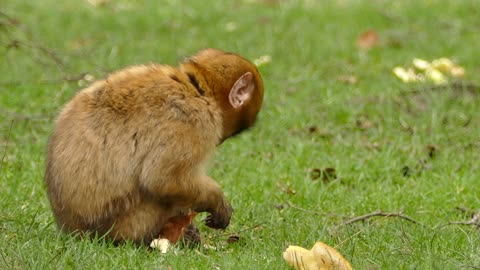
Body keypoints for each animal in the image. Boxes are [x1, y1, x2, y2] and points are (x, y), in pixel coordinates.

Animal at [45, 48, 264, 245]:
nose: (221, 140)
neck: (196, 89)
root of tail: (72, 229)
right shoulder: (193, 121)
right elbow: (163, 179)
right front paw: (217, 201)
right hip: (129, 223)